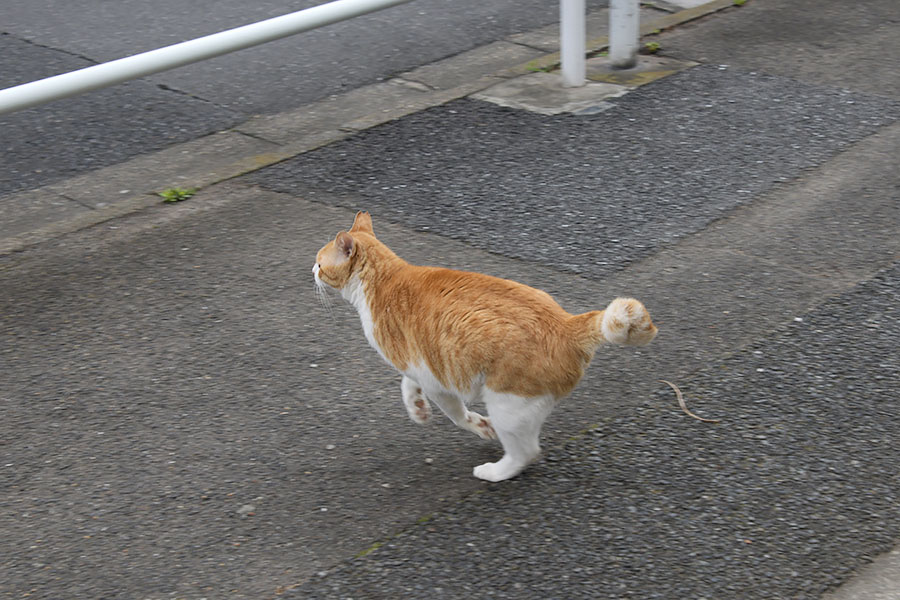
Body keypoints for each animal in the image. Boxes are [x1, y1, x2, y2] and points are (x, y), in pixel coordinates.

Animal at [312, 212, 656, 482]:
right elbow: (407, 385)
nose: (311, 271)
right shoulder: (417, 364)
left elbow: (457, 414)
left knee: (526, 452)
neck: (384, 277)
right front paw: (417, 408)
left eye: (319, 263)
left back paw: (494, 471)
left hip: (507, 405)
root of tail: (566, 324)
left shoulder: (436, 378)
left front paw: (477, 426)